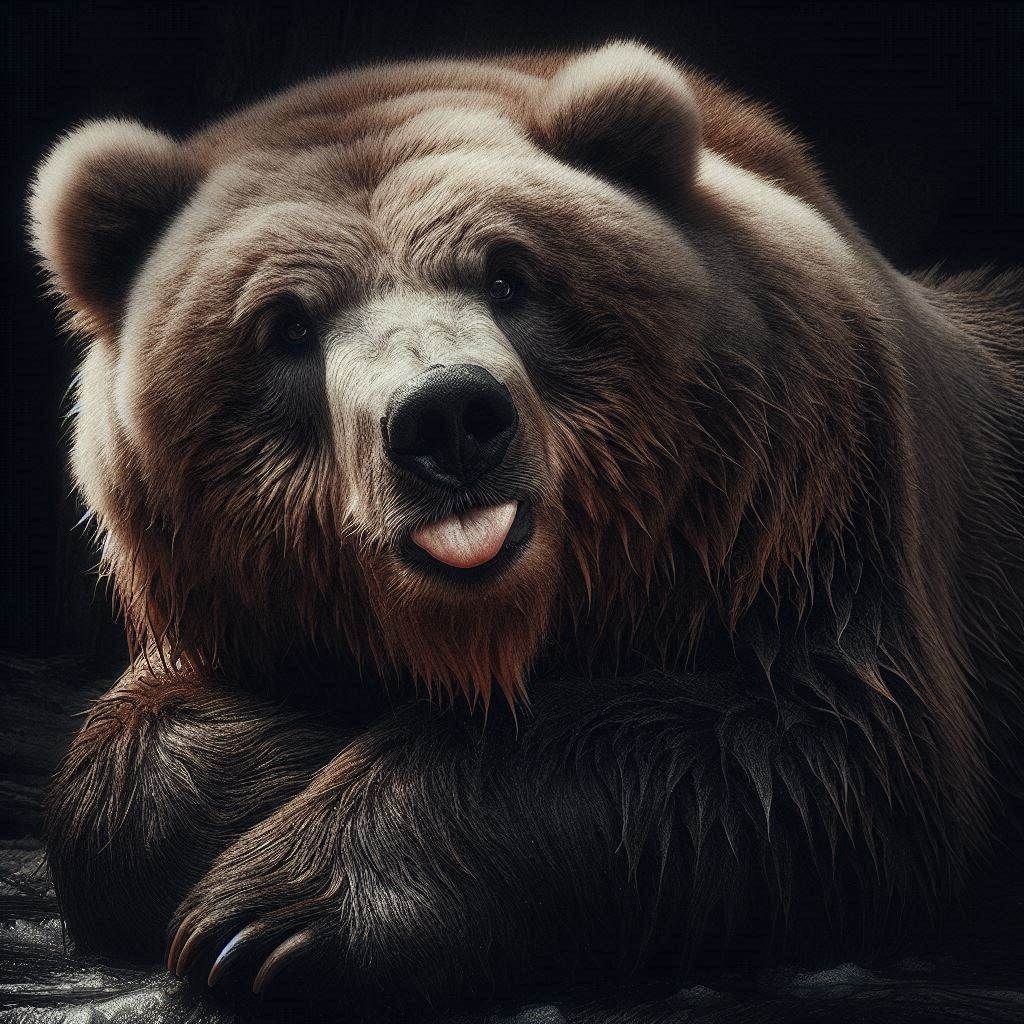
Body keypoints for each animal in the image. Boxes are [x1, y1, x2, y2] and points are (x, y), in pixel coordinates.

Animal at [28, 40, 1024, 1013]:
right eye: (287, 325)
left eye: (508, 275)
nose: (446, 418)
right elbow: (130, 767)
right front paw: (282, 758)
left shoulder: (814, 533)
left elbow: (794, 759)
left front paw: (267, 920)